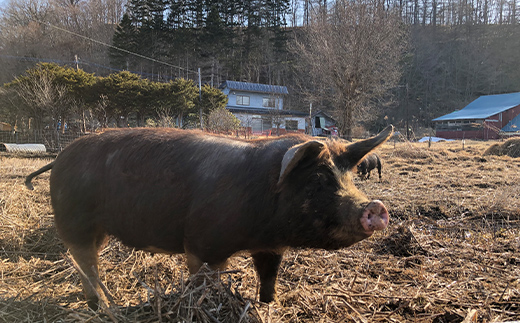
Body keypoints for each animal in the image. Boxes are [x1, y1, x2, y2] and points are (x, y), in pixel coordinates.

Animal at [23, 125, 390, 310]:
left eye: (349, 177)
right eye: (316, 180)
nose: (374, 207)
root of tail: (59, 158)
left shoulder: (270, 247)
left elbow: (268, 278)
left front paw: (268, 304)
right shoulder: (202, 243)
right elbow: (204, 280)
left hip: (95, 228)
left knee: (88, 262)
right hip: (74, 220)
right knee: (84, 262)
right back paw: (102, 306)